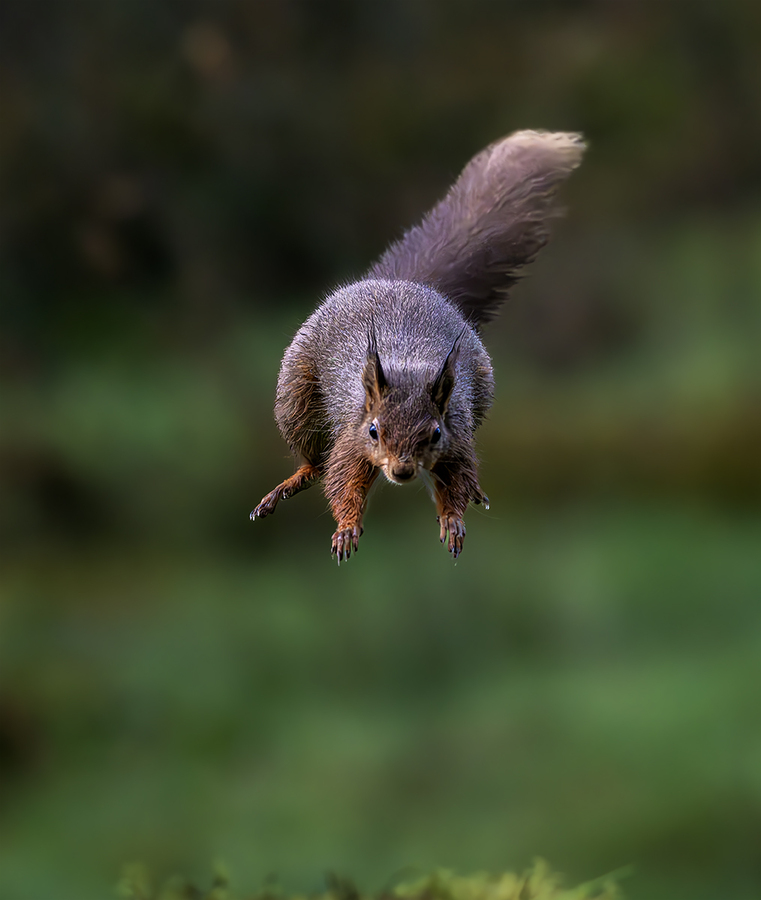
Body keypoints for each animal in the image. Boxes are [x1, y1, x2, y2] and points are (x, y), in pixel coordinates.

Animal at [251, 130, 586, 562]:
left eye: (435, 433)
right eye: (373, 431)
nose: (403, 471)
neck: (408, 369)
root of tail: (400, 282)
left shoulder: (457, 434)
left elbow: (457, 478)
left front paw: (454, 519)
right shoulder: (351, 438)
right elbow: (342, 480)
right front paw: (346, 527)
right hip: (296, 397)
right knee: (312, 459)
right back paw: (293, 480)